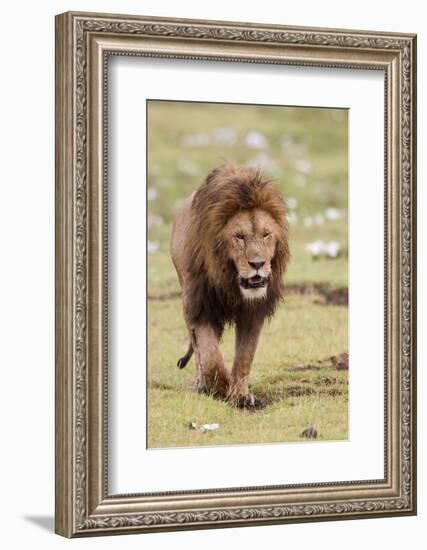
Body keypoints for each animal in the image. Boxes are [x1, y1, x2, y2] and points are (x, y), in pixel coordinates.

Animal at [171, 166, 290, 408]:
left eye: (266, 234)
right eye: (239, 237)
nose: (257, 264)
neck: (229, 281)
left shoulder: (253, 312)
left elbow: (245, 355)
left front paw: (241, 395)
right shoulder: (199, 306)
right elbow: (210, 356)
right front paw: (221, 386)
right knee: (199, 351)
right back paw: (202, 384)